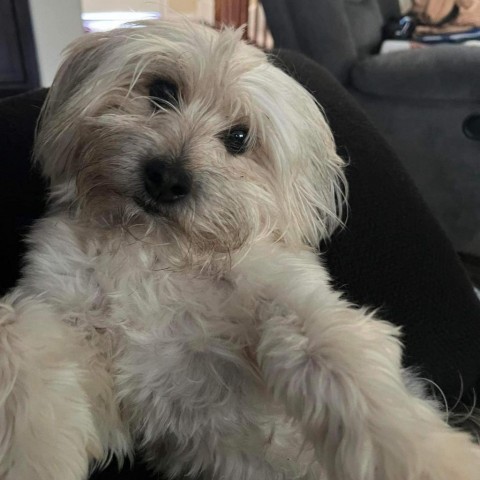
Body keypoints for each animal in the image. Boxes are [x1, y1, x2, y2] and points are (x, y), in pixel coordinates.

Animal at [0, 19, 480, 480]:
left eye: (239, 138)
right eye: (162, 91)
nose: (167, 178)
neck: (154, 249)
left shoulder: (287, 297)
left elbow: (342, 359)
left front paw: (434, 459)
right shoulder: (80, 342)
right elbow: (26, 356)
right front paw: (31, 458)